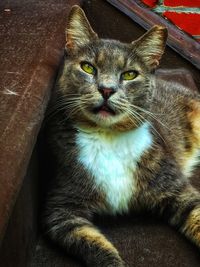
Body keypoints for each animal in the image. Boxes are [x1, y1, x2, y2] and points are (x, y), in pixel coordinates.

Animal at [43, 4, 200, 267]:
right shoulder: (61, 210)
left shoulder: (176, 188)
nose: (107, 89)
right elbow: (92, 244)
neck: (108, 136)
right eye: (88, 67)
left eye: (129, 74)